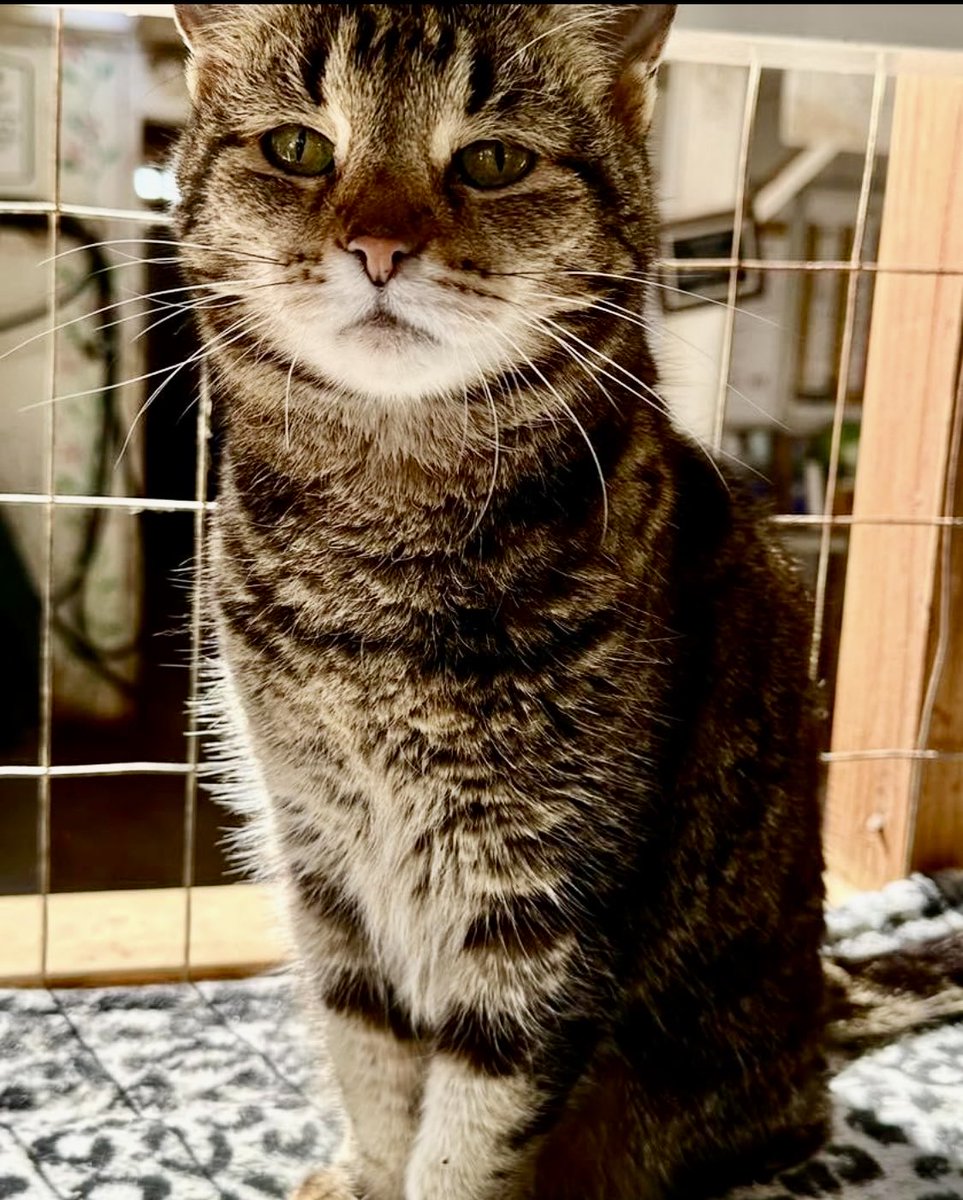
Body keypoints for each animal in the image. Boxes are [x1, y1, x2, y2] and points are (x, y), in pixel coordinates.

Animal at [172, 4, 826, 1195]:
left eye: (492, 161)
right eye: (297, 148)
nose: (378, 250)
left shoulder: (542, 898)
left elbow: (469, 1138)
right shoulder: (320, 863)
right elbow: (372, 1070)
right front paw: (363, 1169)